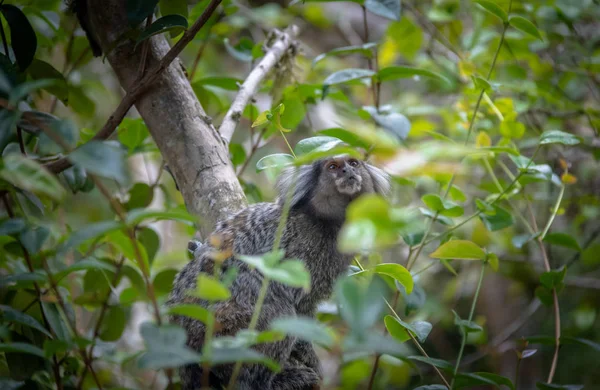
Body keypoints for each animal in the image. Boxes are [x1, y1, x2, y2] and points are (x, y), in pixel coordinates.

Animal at [166, 156, 392, 390]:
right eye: (333, 167)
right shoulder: (302, 252)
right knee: (276, 310)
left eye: (353, 163)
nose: (348, 171)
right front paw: (311, 359)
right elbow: (299, 308)